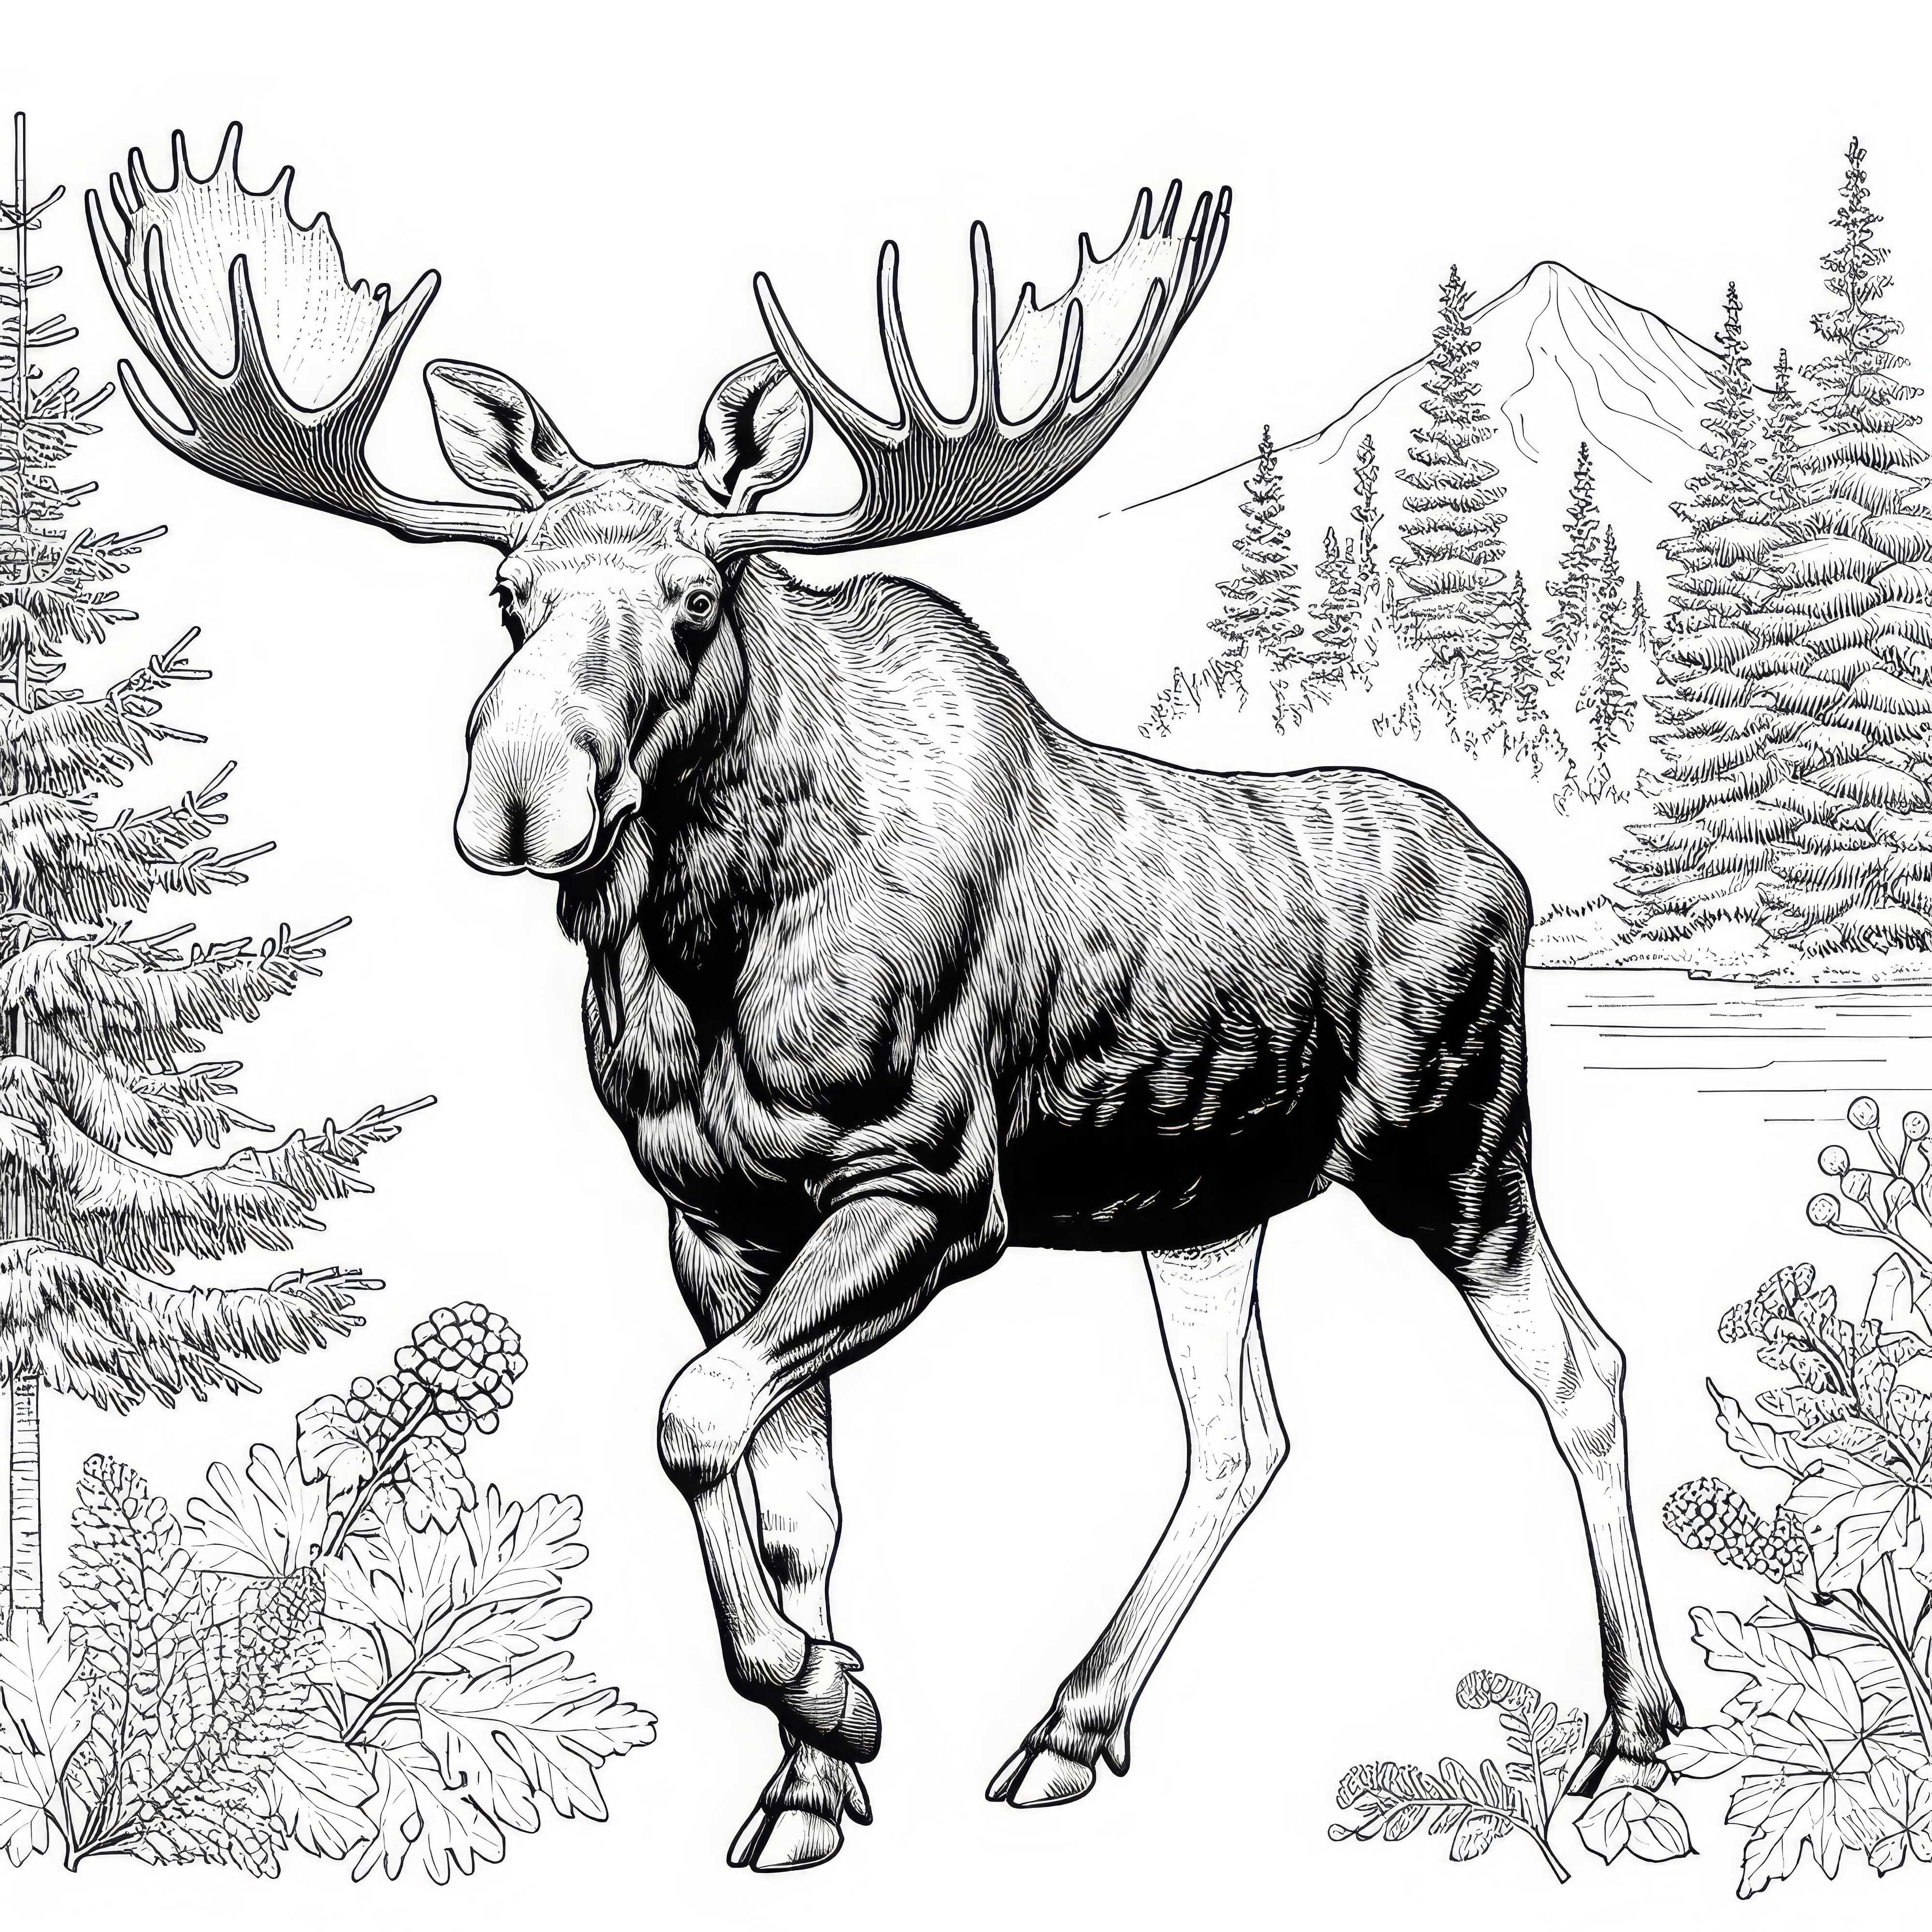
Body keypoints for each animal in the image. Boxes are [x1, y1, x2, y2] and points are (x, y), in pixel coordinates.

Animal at [90, 127, 1682, 1874]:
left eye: (695, 599)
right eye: (507, 592)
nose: (514, 799)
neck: (707, 957)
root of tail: (1512, 874)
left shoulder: (930, 1188)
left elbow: (693, 1420)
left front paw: (835, 1702)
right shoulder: (714, 1220)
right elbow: (789, 1502)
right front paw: (809, 1772)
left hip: (1458, 1151)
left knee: (1584, 1374)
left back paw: (1633, 1744)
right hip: (1206, 1202)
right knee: (1240, 1436)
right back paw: (1071, 1727)